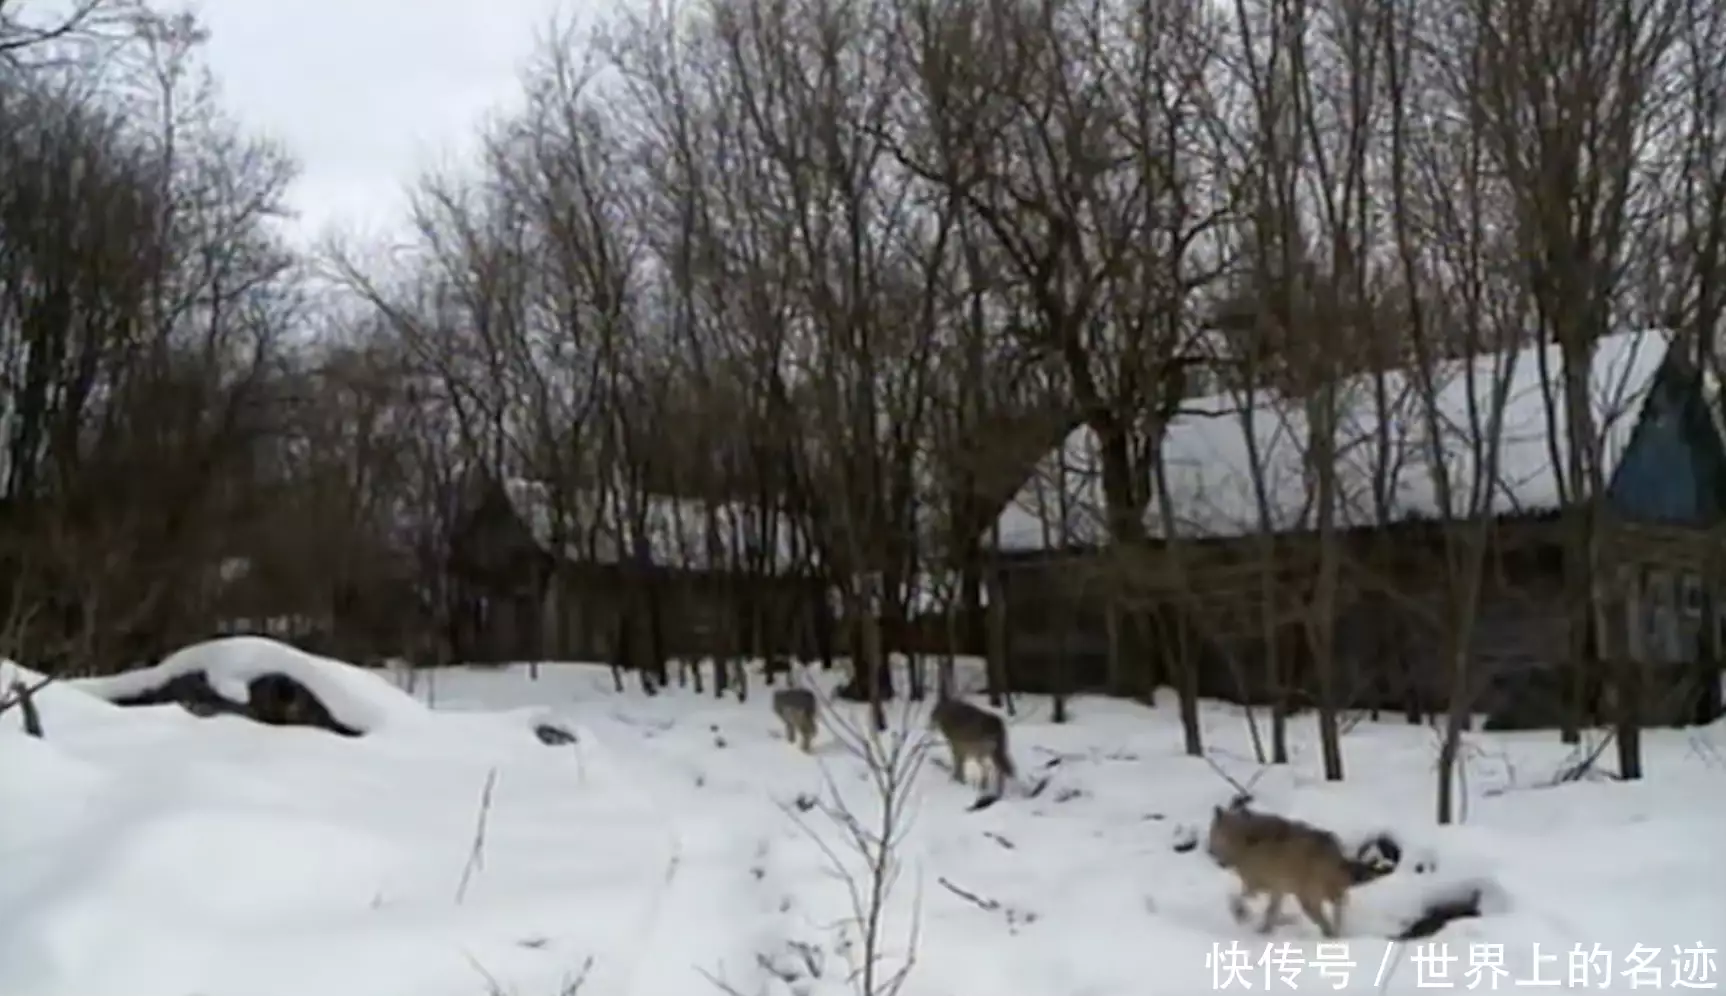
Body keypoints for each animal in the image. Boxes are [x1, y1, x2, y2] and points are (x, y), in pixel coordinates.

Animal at [1208, 804, 1353, 939]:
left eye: (1223, 837)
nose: (1210, 852)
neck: (1247, 842)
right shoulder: (1276, 890)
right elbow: (1270, 912)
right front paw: (1265, 930)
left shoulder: (1256, 886)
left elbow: (1237, 899)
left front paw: (1241, 914)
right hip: (1321, 895)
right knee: (1338, 907)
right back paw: (1336, 934)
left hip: (1308, 899)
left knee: (1328, 918)